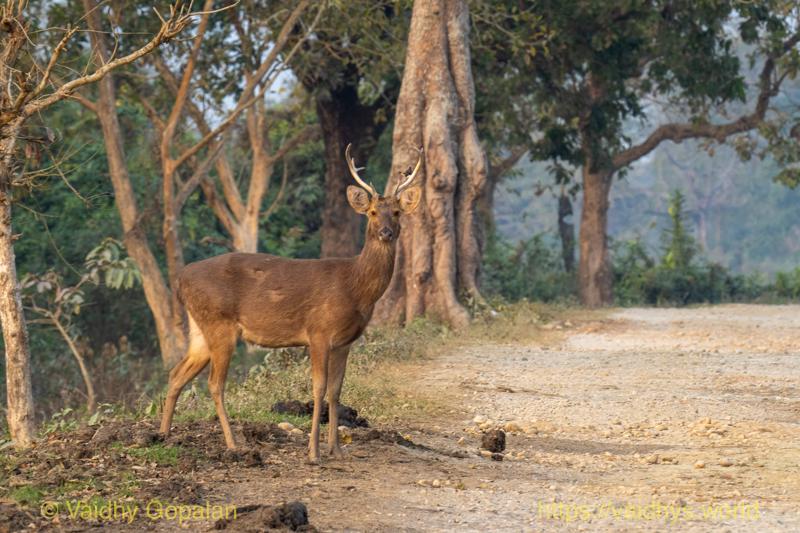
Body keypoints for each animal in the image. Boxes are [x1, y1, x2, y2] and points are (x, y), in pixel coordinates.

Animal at [159, 144, 423, 463]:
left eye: (396, 212)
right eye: (372, 212)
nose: (386, 232)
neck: (355, 287)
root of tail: (181, 279)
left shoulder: (345, 341)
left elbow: (336, 390)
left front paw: (337, 449)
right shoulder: (319, 331)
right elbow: (318, 388)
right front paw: (313, 452)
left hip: (200, 328)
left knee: (177, 374)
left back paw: (163, 435)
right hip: (219, 323)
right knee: (214, 384)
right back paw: (233, 445)